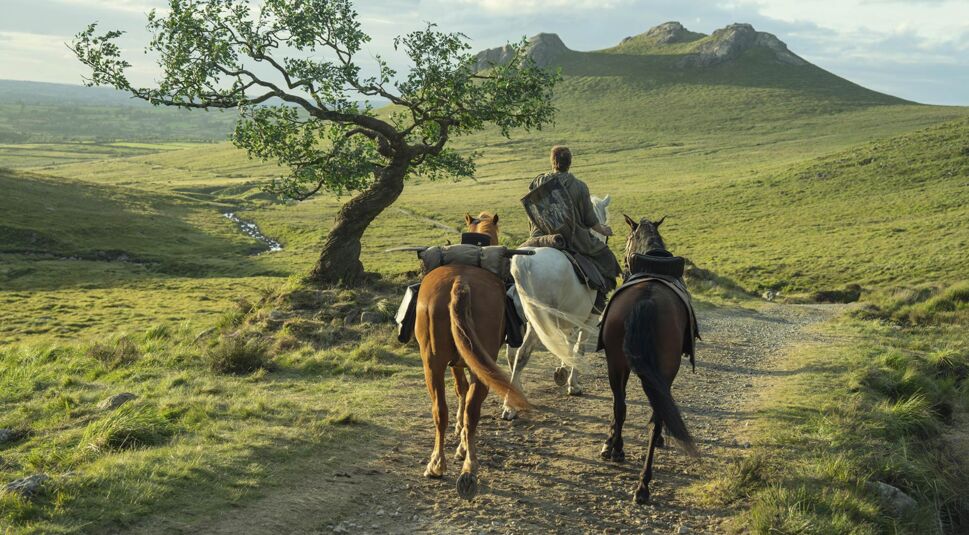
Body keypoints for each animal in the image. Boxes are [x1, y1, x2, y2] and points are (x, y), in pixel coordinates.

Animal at [414, 211, 531, 501]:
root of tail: (460, 282)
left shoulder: (454, 362)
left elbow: (459, 390)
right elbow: (463, 393)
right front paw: (463, 442)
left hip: (432, 363)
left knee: (439, 410)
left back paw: (437, 464)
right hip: (479, 365)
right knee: (472, 410)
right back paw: (469, 467)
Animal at [499, 195, 612, 420]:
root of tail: (524, 261)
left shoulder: (567, 321)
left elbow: (567, 345)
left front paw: (563, 371)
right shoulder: (589, 319)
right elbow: (579, 349)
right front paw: (573, 384)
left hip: (520, 322)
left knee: (511, 355)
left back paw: (517, 393)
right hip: (536, 322)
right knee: (521, 354)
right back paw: (510, 406)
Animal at [599, 215, 698, 504]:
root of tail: (646, 299)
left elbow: (620, 407)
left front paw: (610, 443)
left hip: (616, 362)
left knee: (620, 406)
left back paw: (621, 455)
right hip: (659, 369)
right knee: (654, 417)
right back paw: (643, 482)